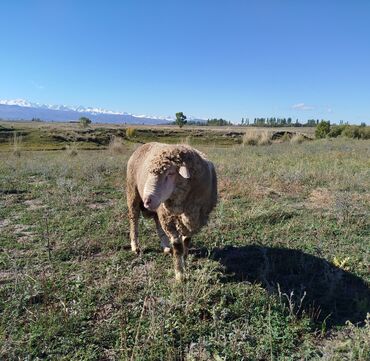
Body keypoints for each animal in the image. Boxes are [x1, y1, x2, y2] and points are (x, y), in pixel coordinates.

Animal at [126, 142, 217, 280]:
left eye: (170, 173)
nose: (147, 201)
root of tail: (145, 144)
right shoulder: (169, 220)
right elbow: (178, 246)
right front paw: (180, 274)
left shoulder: (192, 218)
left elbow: (187, 240)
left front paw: (185, 258)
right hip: (133, 193)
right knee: (134, 220)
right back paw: (135, 246)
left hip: (159, 209)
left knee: (157, 223)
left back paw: (165, 246)